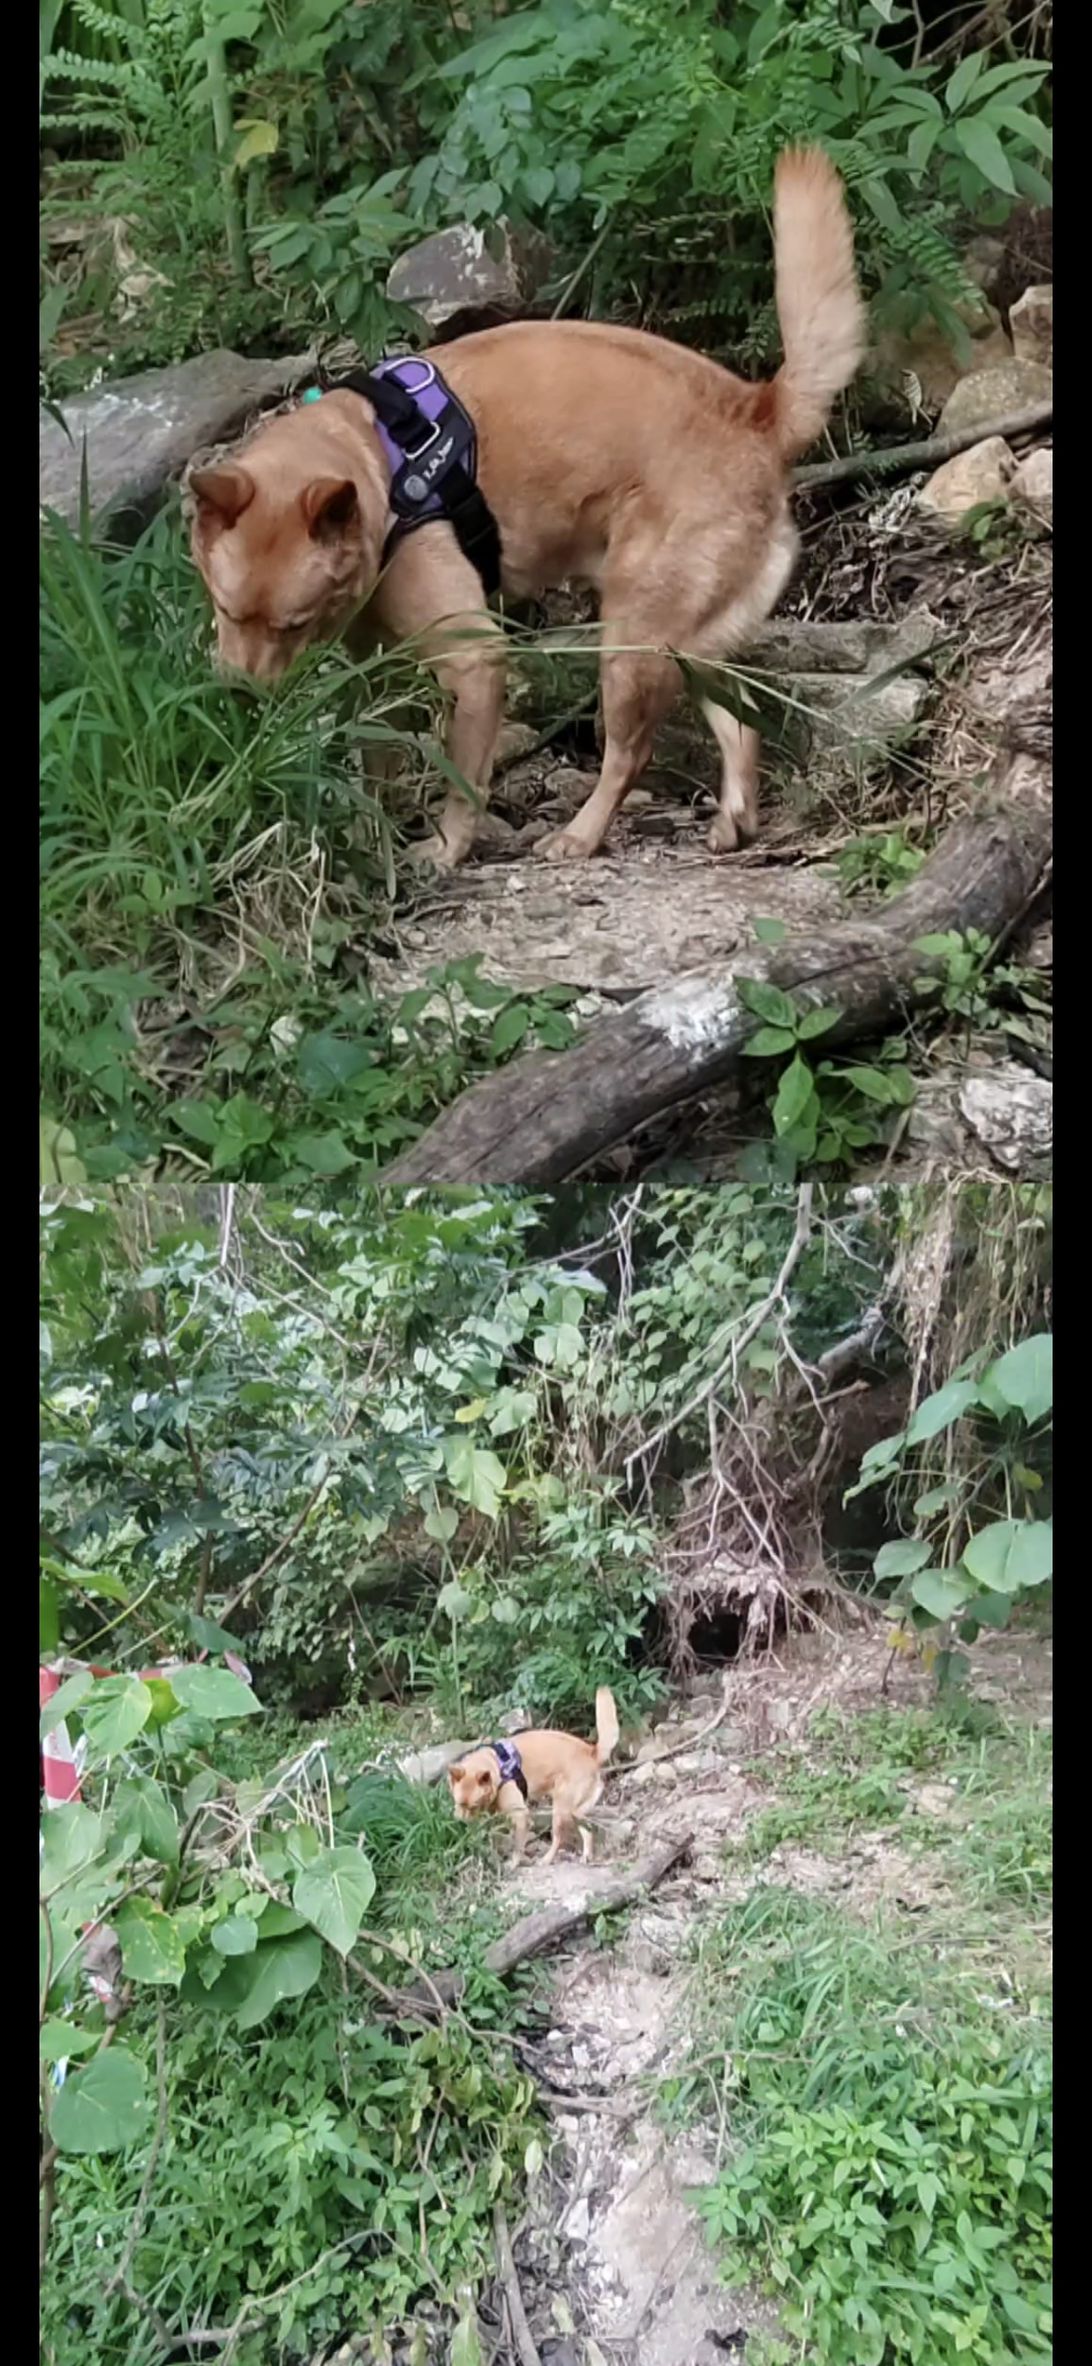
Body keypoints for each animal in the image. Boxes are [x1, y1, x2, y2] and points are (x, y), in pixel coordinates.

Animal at [191, 150, 865, 870]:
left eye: (290, 624)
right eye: (227, 610)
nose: (239, 695)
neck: (375, 464)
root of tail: (758, 412)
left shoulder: (474, 660)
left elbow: (464, 783)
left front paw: (445, 848)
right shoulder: (375, 669)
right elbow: (376, 758)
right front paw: (369, 838)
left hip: (628, 645)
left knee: (630, 753)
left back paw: (581, 834)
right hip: (688, 646)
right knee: (741, 722)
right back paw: (733, 821)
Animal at [446, 1684, 619, 1864]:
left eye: (473, 1806)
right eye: (458, 1803)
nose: (460, 1823)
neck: (495, 1765)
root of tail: (591, 1752)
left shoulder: (520, 1816)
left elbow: (517, 1845)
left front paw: (513, 1863)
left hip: (560, 1811)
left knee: (559, 1838)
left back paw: (546, 1859)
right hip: (575, 1812)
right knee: (588, 1830)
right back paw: (586, 1855)